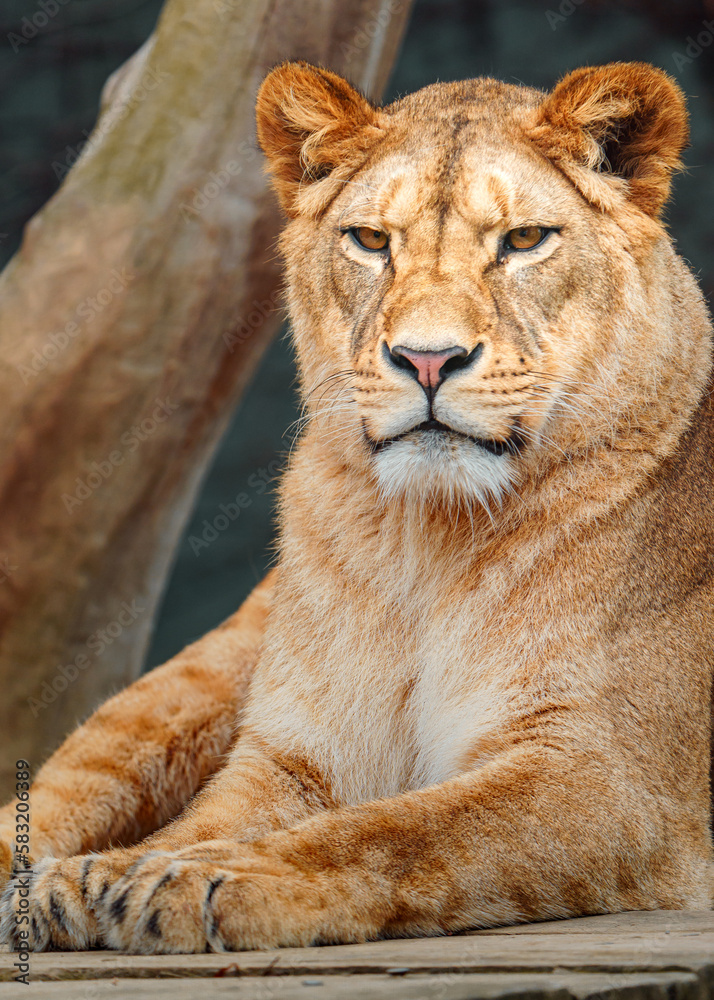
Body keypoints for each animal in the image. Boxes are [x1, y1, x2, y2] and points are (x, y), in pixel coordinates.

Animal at [0, 59, 712, 955]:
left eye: (523, 241)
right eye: (372, 241)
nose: (428, 360)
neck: (428, 539)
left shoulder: (608, 778)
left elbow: (399, 831)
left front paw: (206, 879)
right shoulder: (293, 755)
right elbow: (205, 822)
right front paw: (101, 874)